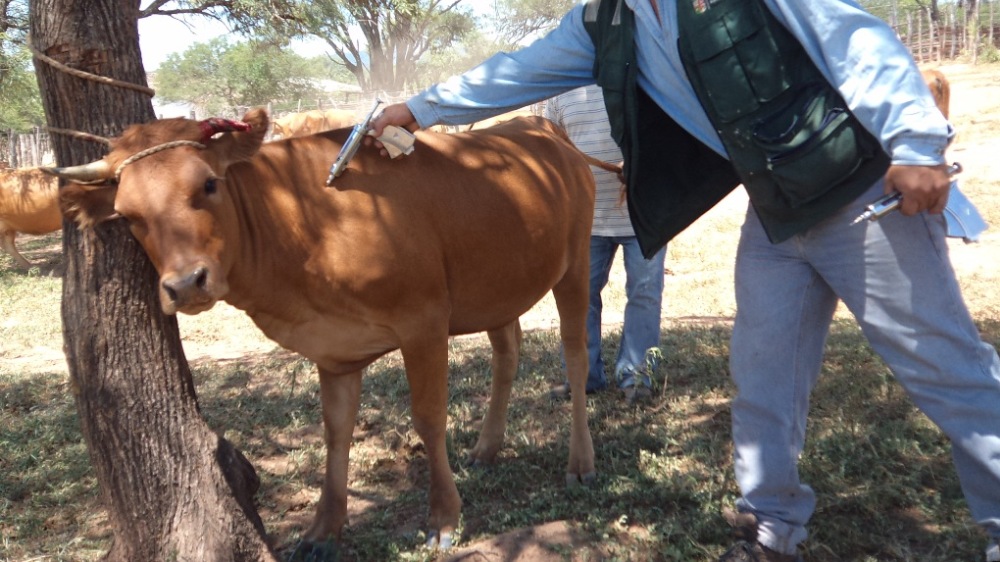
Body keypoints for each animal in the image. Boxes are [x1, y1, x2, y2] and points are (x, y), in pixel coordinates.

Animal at [43, 108, 596, 552]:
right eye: (127, 214)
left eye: (208, 184)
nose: (185, 283)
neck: (304, 225)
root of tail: (545, 128)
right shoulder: (334, 349)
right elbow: (336, 431)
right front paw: (323, 530)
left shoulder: (424, 321)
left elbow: (429, 418)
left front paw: (443, 518)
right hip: (498, 287)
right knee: (508, 352)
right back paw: (487, 447)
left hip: (575, 265)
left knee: (575, 357)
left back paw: (580, 462)